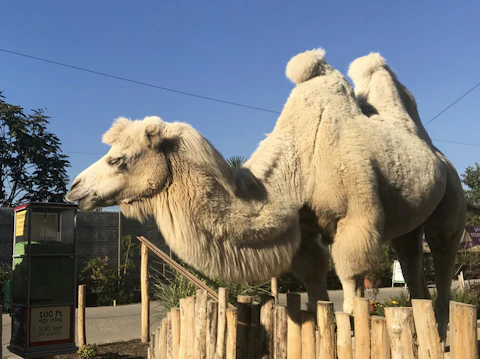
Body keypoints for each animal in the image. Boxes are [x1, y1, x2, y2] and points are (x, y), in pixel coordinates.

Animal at [65, 46, 478, 342]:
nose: (75, 188)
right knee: (414, 272)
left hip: (450, 205)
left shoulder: (356, 219)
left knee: (443, 266)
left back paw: (443, 337)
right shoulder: (305, 232)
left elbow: (350, 288)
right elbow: (317, 290)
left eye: (118, 159)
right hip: (408, 225)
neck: (298, 168)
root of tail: (441, 160)